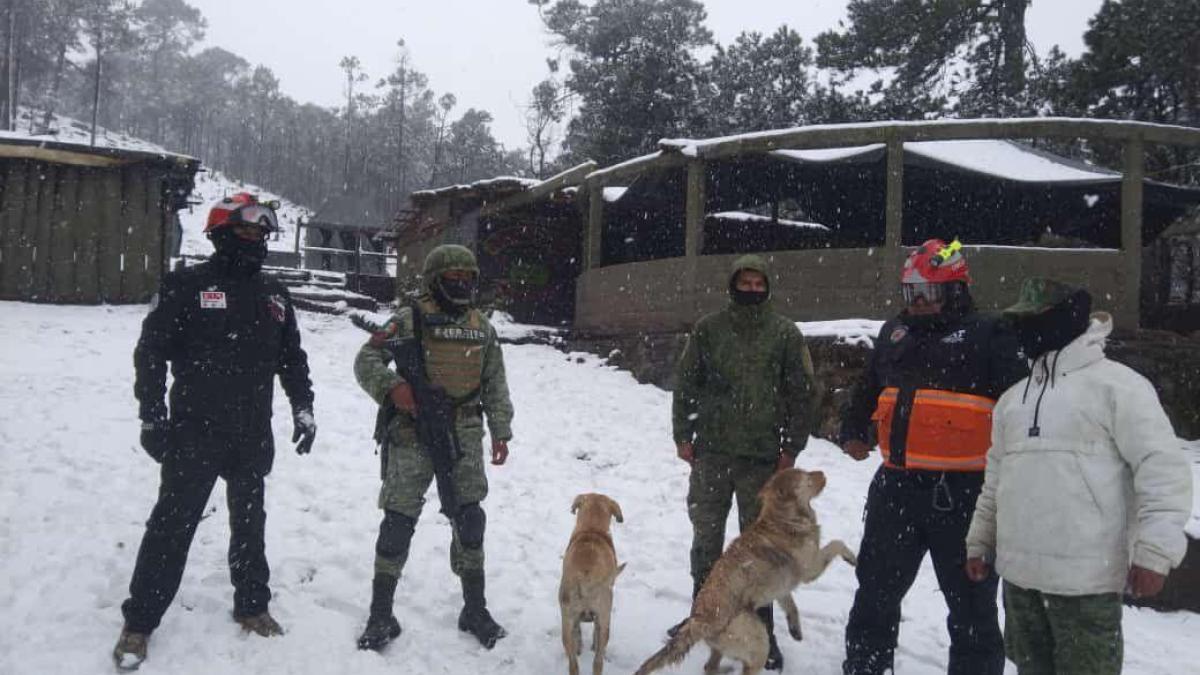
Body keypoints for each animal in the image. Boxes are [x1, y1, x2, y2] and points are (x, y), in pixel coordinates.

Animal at [559, 487, 628, 672]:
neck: (591, 528)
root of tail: (585, 577)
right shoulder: (601, 617)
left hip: (566, 622)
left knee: (573, 663)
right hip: (605, 617)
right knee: (598, 660)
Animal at [638, 468, 854, 672]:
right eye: (805, 476)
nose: (823, 473)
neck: (784, 518)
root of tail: (698, 622)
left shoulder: (782, 586)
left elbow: (791, 605)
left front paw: (795, 629)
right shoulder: (810, 568)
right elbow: (837, 543)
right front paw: (852, 558)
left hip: (726, 644)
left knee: (710, 667)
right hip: (758, 640)